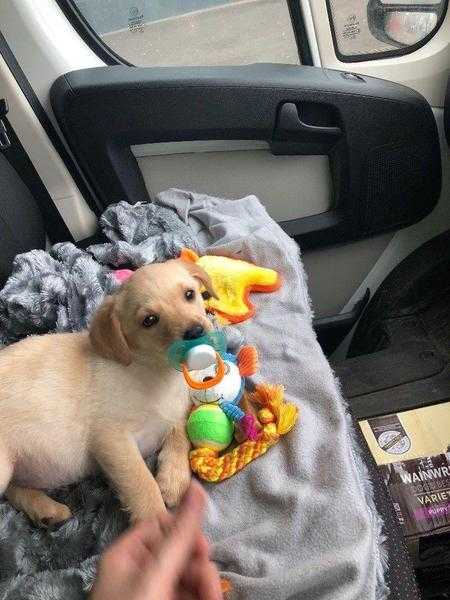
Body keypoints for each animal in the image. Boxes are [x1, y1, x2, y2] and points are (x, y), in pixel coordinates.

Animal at [0, 258, 216, 524]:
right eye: (149, 320)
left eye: (189, 294)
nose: (196, 333)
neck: (155, 371)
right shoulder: (112, 439)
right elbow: (143, 485)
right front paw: (158, 527)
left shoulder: (174, 412)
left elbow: (180, 435)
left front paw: (172, 480)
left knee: (13, 489)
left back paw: (45, 510)